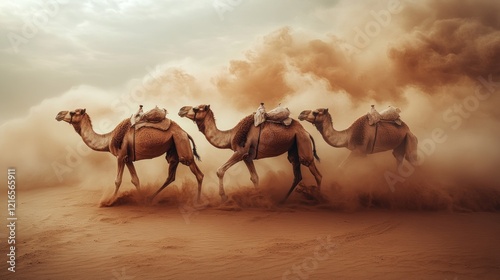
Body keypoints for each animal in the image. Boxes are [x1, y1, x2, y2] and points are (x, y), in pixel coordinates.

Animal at [57, 107, 206, 203]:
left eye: (72, 112)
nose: (58, 114)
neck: (109, 138)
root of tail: (185, 132)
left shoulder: (121, 156)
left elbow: (117, 180)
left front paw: (109, 201)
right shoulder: (128, 159)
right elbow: (135, 180)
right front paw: (140, 199)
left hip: (181, 144)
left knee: (197, 173)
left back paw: (198, 201)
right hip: (174, 148)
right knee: (171, 176)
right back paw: (151, 198)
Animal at [178, 104, 322, 202]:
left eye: (196, 109)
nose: (181, 109)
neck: (231, 135)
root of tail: (306, 132)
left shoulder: (240, 151)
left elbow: (220, 170)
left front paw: (224, 196)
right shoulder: (247, 157)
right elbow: (255, 178)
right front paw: (259, 199)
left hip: (303, 143)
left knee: (317, 173)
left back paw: (319, 199)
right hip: (294, 148)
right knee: (297, 174)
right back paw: (283, 200)